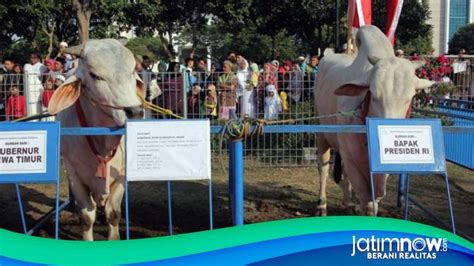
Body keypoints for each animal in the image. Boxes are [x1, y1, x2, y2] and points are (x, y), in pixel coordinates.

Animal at [48, 39, 145, 241]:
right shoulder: (73, 171)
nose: (136, 112)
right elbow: (86, 216)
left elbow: (113, 213)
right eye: (95, 75)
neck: (102, 141)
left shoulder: (122, 173)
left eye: (133, 70)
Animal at [314, 25, 434, 216]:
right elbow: (368, 203)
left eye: (410, 97)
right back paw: (321, 205)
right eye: (374, 95)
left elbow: (373, 200)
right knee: (323, 168)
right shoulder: (351, 158)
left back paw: (349, 203)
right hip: (321, 132)